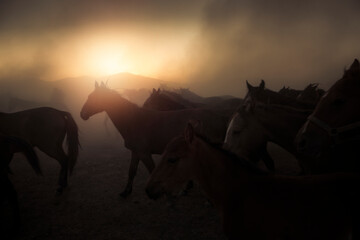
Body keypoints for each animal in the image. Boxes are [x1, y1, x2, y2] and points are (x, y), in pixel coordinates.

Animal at [80, 82, 229, 197]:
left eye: (93, 97)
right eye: (89, 96)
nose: (82, 114)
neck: (134, 120)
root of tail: (221, 117)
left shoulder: (144, 154)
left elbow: (153, 171)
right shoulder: (136, 152)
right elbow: (131, 171)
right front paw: (126, 191)